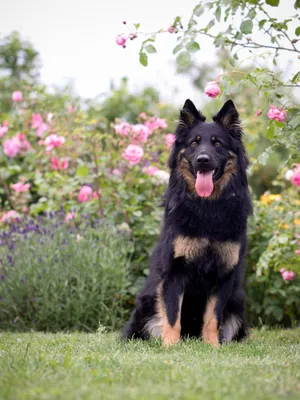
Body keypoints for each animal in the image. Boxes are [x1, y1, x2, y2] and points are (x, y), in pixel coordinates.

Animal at [122, 98, 253, 346]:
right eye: (194, 143)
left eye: (217, 144)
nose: (203, 160)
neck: (207, 208)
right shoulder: (175, 272)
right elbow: (173, 315)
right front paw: (170, 346)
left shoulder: (223, 276)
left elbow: (212, 317)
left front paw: (212, 346)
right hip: (147, 303)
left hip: (237, 305)